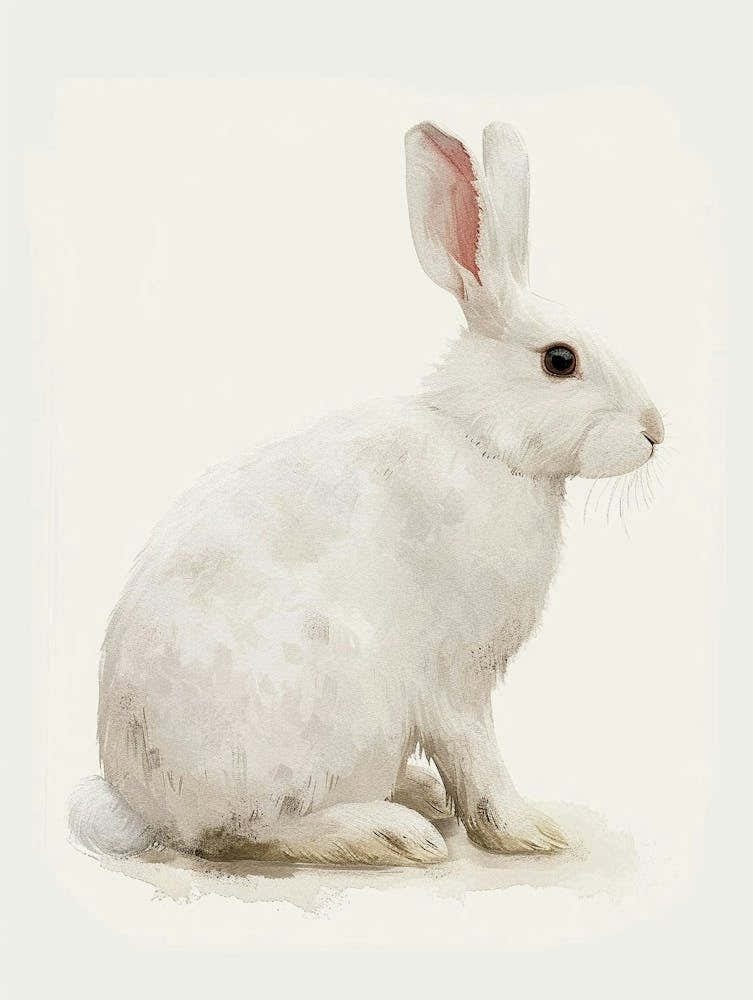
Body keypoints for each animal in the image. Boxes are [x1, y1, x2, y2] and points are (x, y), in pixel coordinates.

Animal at [69, 121, 664, 866]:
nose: (655, 431)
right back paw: (389, 833)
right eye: (560, 360)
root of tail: (146, 808)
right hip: (333, 714)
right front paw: (527, 832)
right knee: (245, 833)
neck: (483, 441)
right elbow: (477, 756)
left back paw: (416, 796)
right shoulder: (454, 679)